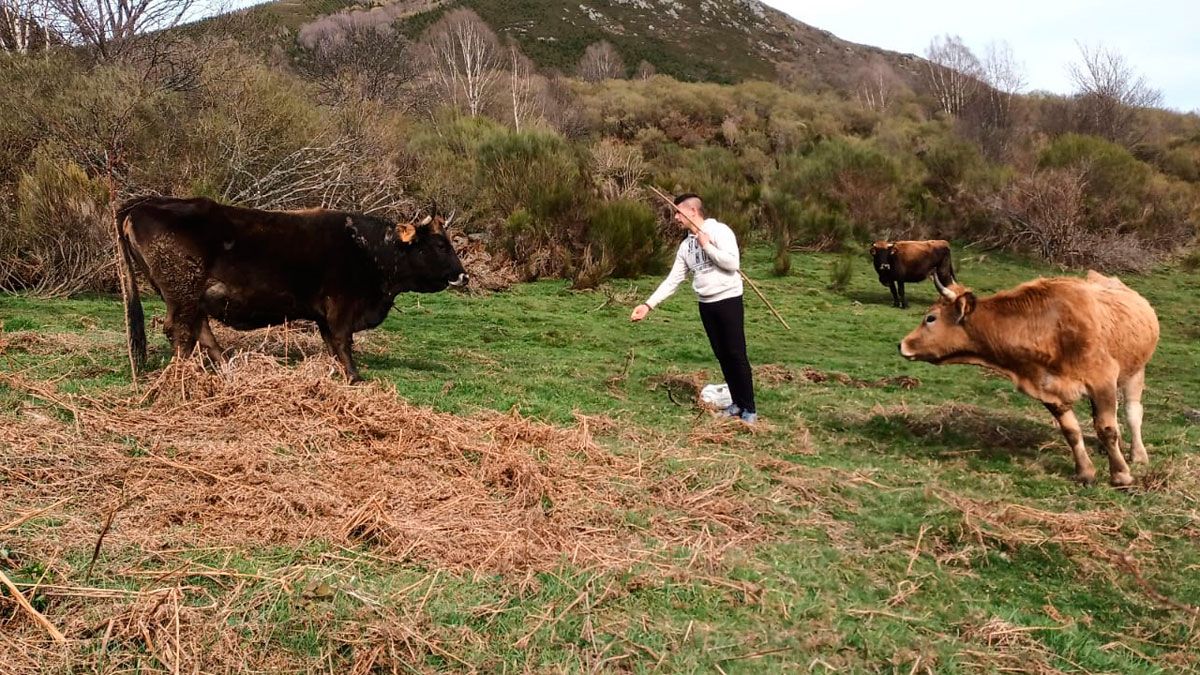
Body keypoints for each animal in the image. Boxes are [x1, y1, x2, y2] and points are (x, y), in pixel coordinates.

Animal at [114, 196, 465, 381]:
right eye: (439, 244)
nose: (463, 276)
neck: (366, 247)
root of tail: (144, 203)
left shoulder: (324, 315)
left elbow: (333, 345)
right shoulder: (340, 307)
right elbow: (343, 342)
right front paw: (354, 377)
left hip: (192, 298)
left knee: (201, 332)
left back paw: (227, 367)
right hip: (182, 294)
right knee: (181, 333)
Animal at [902, 270, 1161, 485]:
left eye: (930, 318)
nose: (901, 344)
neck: (1049, 327)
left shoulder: (1103, 381)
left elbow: (1108, 429)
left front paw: (1121, 475)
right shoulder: (1049, 390)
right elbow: (1072, 431)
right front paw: (1085, 472)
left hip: (1136, 371)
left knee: (1132, 414)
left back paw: (1138, 454)